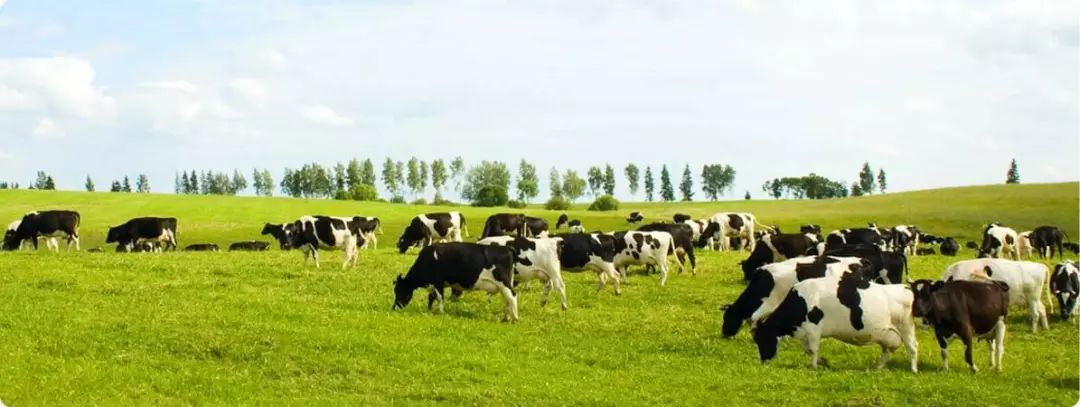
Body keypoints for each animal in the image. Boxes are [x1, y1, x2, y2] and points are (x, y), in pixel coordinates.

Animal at [751, 273, 920, 371]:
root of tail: (905, 288)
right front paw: (823, 362)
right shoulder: (805, 331)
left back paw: (913, 369)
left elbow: (812, 350)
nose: (763, 361)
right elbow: (807, 350)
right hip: (887, 334)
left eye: (762, 339)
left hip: (906, 328)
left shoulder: (814, 328)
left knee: (912, 347)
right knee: (886, 351)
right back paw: (877, 368)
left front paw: (814, 366)